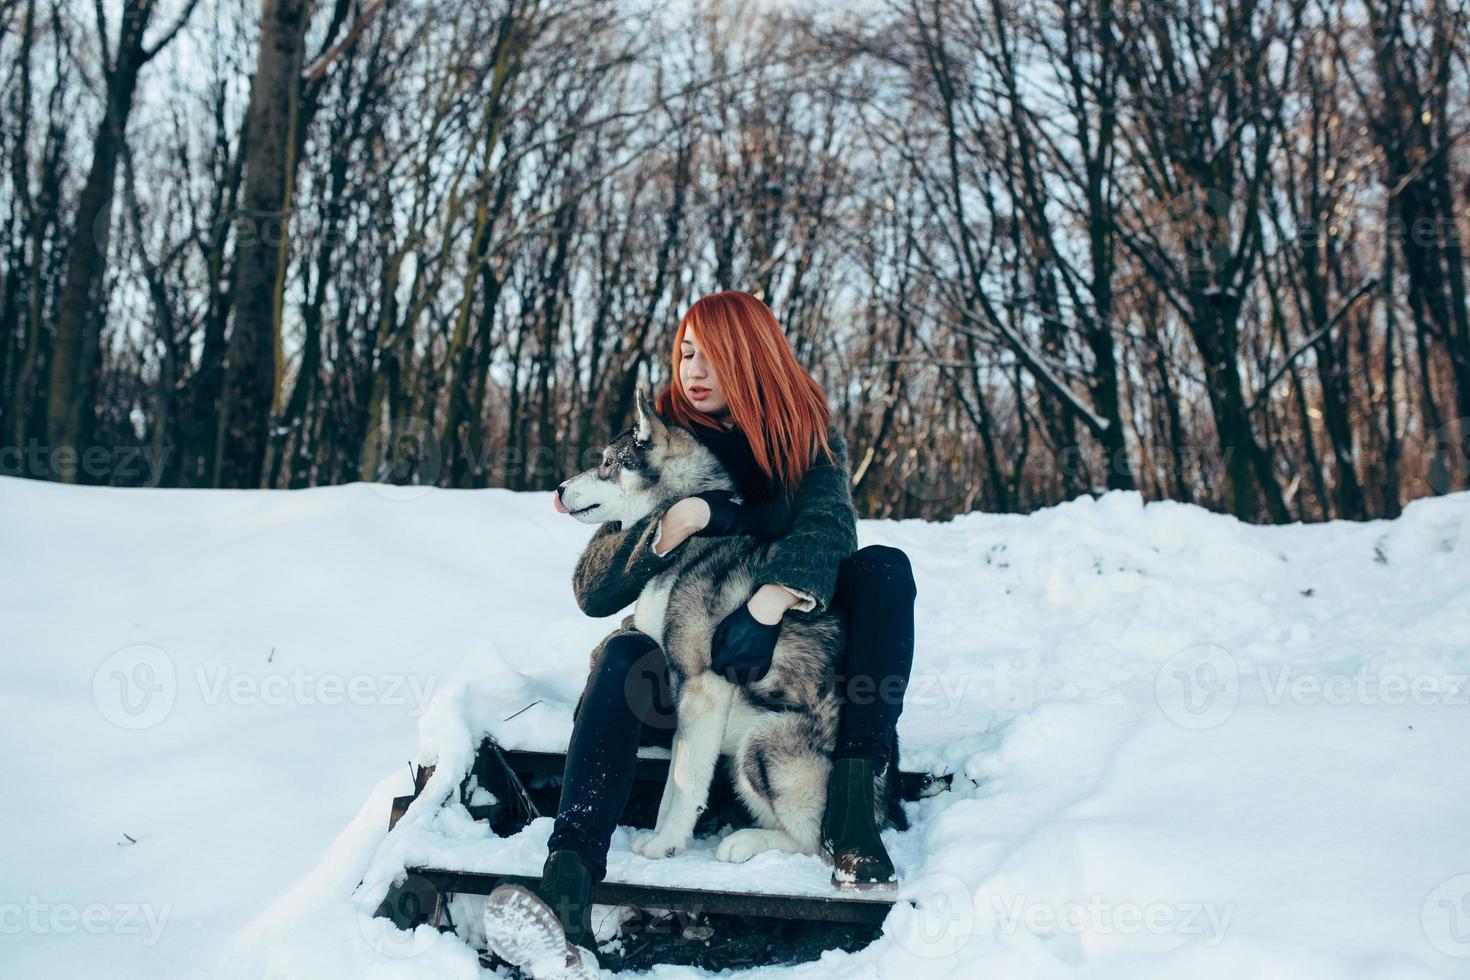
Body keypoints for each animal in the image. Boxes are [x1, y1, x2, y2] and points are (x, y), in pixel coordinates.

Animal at [555, 390, 887, 863]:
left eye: (606, 463)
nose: (559, 489)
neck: (691, 542)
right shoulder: (685, 696)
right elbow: (674, 784)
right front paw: (662, 838)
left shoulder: (703, 687)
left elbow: (686, 782)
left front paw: (666, 844)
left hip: (762, 741)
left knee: (813, 841)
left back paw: (745, 842)